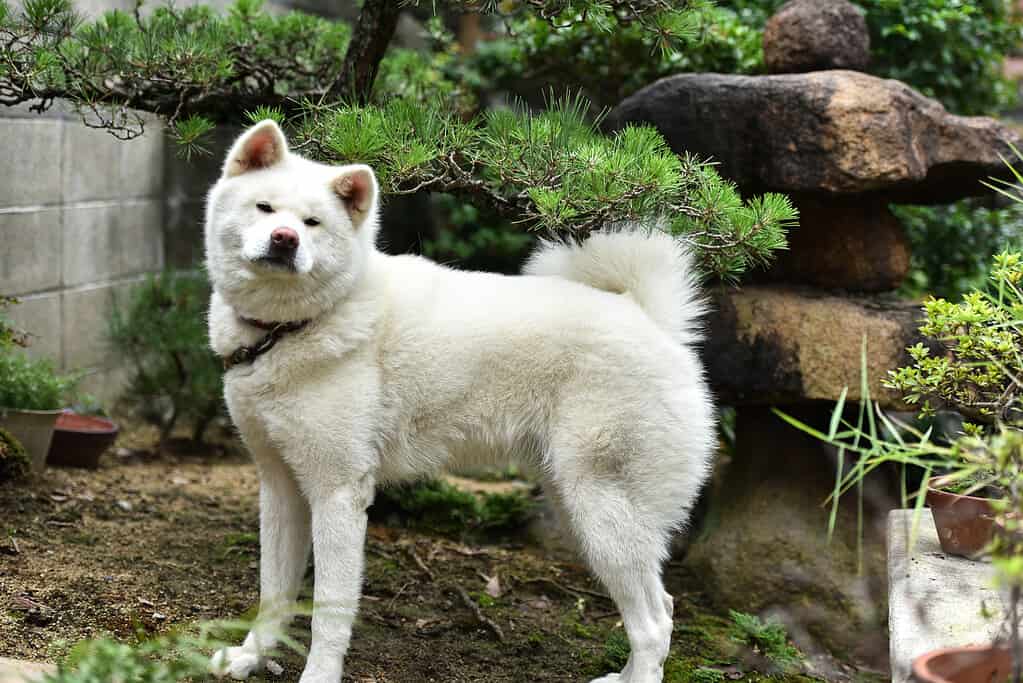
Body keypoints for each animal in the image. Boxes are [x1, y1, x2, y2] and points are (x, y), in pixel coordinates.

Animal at [203, 121, 716, 683]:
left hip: (602, 511)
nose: (285, 238)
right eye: (265, 208)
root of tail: (653, 321)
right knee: (663, 607)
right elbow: (273, 594)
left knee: (653, 625)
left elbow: (328, 615)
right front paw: (251, 656)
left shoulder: (338, 495)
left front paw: (317, 676)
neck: (289, 330)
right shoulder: (281, 489)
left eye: (313, 222)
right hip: (577, 505)